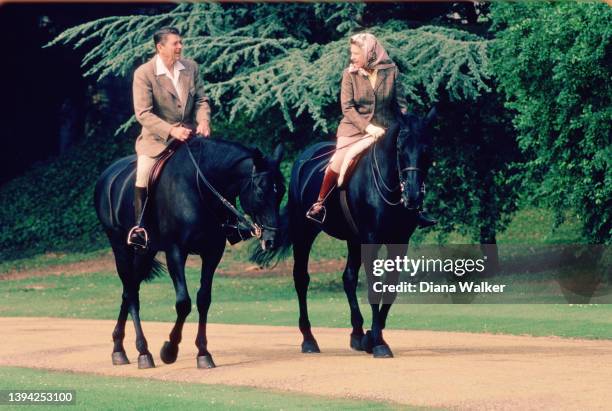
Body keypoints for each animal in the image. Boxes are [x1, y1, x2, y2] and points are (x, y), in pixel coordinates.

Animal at [94, 138, 286, 370]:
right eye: (260, 191)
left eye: (281, 191)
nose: (273, 240)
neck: (200, 187)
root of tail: (108, 174)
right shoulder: (176, 251)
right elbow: (183, 302)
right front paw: (169, 350)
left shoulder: (212, 253)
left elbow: (203, 299)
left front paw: (203, 353)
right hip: (120, 246)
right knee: (131, 293)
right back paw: (143, 352)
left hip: (144, 252)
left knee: (129, 290)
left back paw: (119, 349)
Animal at [256, 108, 438, 358]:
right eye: (400, 148)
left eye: (427, 150)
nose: (412, 196)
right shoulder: (371, 241)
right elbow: (374, 287)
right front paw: (378, 343)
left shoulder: (399, 242)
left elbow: (389, 287)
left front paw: (373, 337)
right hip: (305, 233)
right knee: (301, 278)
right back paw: (309, 340)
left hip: (353, 240)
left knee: (348, 278)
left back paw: (357, 334)